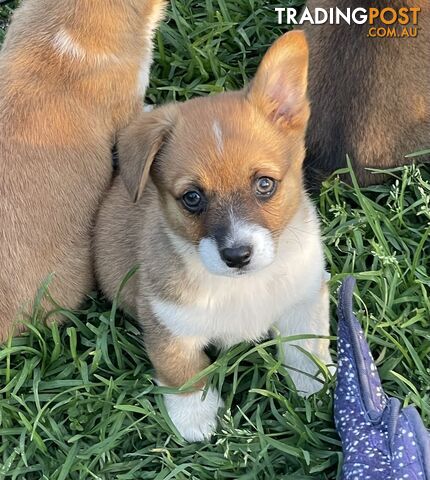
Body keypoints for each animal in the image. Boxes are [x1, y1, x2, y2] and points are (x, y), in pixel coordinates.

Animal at [95, 31, 334, 442]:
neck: (242, 286)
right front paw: (195, 417)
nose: (237, 256)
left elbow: (306, 349)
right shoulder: (167, 321)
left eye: (265, 184)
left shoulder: (303, 300)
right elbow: (181, 370)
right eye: (192, 197)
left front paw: (318, 388)